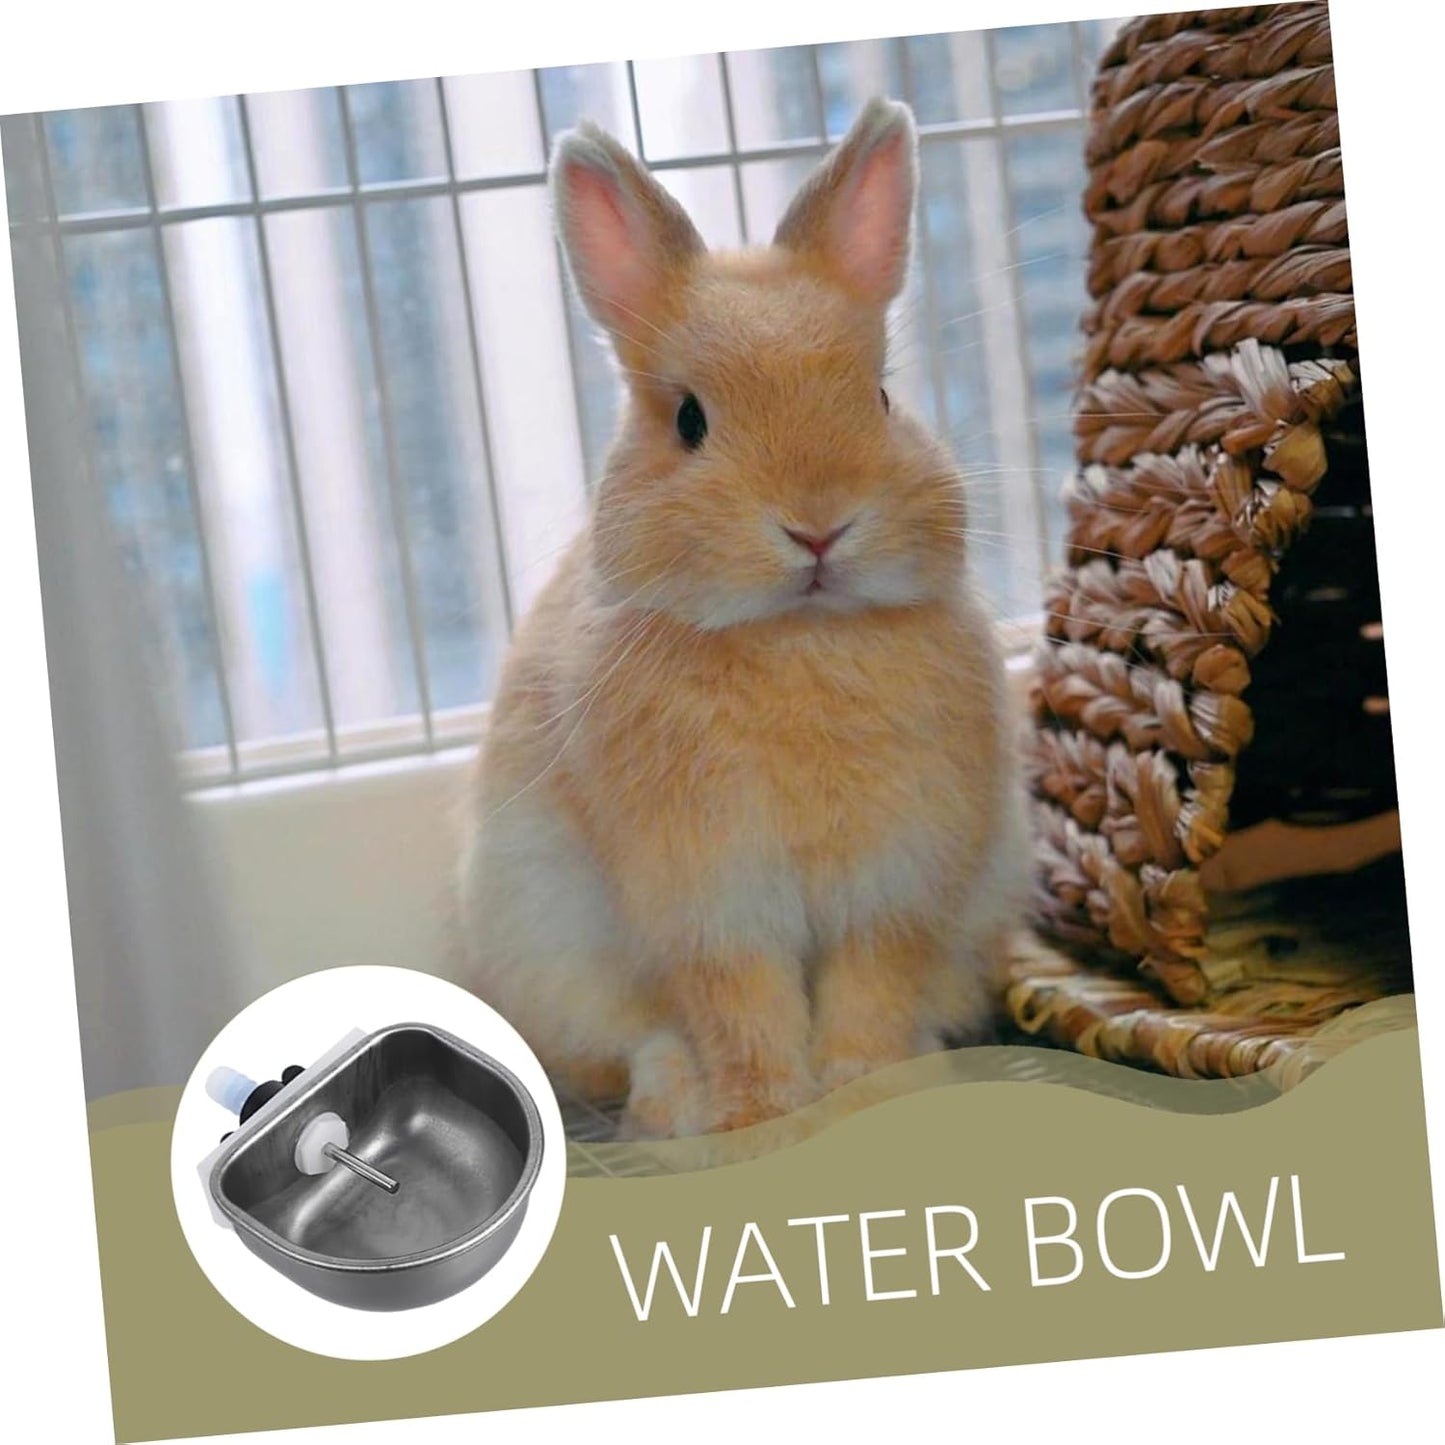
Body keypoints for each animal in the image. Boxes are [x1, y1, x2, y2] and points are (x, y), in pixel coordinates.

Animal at [455, 96, 1030, 1139]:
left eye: (881, 395)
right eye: (689, 420)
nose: (818, 526)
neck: (796, 638)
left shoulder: (897, 881)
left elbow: (869, 986)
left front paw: (865, 1087)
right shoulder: (707, 897)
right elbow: (740, 1001)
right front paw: (761, 1115)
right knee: (632, 1044)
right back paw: (678, 1103)